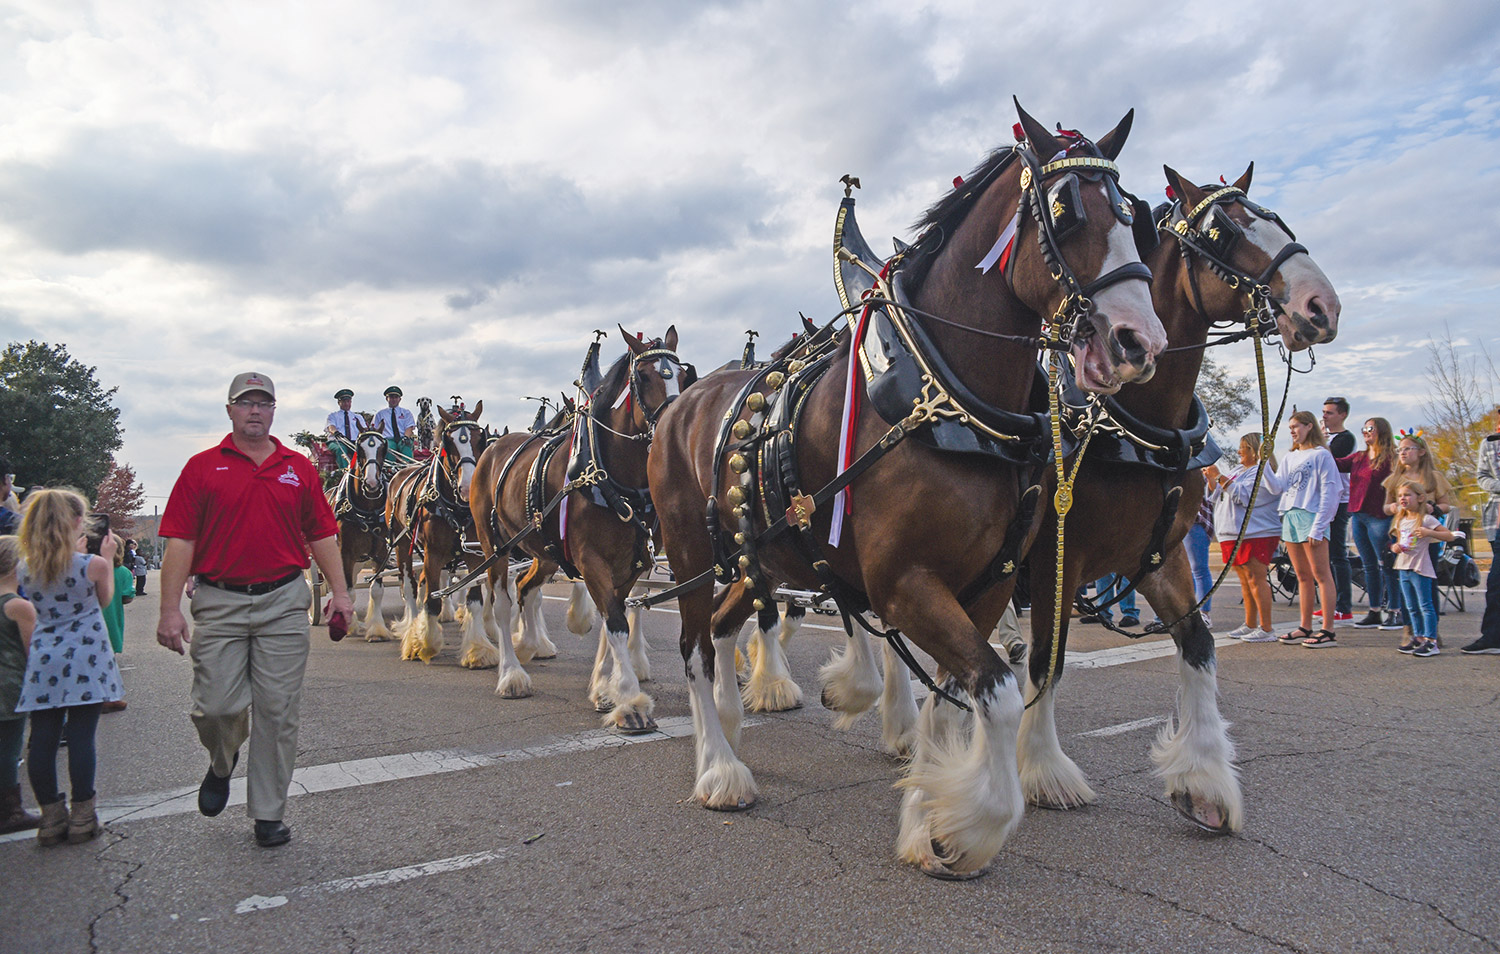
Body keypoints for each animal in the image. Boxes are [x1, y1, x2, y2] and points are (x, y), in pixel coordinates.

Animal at [384, 402, 489, 663]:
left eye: (479, 439)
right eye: (449, 442)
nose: (468, 488)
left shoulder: (475, 555)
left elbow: (474, 601)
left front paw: (478, 651)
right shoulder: (433, 553)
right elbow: (431, 602)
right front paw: (425, 644)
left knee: (421, 582)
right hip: (403, 545)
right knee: (410, 585)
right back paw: (411, 628)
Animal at [468, 328, 687, 729]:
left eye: (682, 374)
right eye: (643, 376)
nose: (673, 425)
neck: (609, 475)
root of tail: (493, 447)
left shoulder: (628, 564)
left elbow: (613, 617)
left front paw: (604, 688)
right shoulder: (591, 560)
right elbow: (615, 623)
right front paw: (630, 700)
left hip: (544, 554)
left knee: (526, 589)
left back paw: (533, 644)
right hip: (494, 547)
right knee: (503, 602)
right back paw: (511, 674)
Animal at [651, 104, 1164, 882]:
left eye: (1136, 215)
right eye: (1067, 212)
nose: (1141, 341)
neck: (946, 400)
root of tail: (678, 404)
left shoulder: (986, 584)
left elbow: (958, 700)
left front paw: (929, 819)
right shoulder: (903, 582)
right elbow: (1000, 694)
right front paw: (971, 827)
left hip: (750, 559)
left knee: (720, 627)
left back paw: (735, 729)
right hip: (686, 553)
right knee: (692, 646)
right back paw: (718, 769)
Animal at [1014, 165, 1344, 834]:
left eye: (1278, 220)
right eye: (1224, 232)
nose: (1321, 306)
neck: (1133, 424)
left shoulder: (1160, 558)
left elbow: (1198, 644)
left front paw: (1204, 780)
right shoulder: (1055, 560)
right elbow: (1046, 659)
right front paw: (1043, 771)